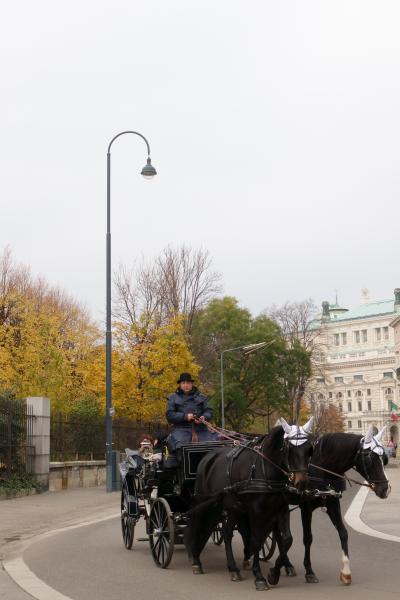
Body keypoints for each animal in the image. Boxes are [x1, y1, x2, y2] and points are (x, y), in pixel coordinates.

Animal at [184, 422, 312, 592]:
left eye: (309, 449)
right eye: (289, 448)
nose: (302, 483)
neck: (266, 470)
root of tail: (207, 457)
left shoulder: (281, 509)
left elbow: (286, 539)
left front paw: (274, 573)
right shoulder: (256, 511)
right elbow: (256, 540)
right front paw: (259, 577)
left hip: (233, 507)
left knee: (226, 533)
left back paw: (233, 568)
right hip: (203, 502)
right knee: (197, 525)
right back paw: (196, 561)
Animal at [268, 426, 390, 584]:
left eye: (384, 459)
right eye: (370, 458)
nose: (385, 489)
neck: (321, 467)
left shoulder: (333, 504)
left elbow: (343, 533)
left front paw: (346, 571)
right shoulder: (306, 509)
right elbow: (308, 538)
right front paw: (309, 571)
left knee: (277, 533)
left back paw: (287, 565)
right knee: (278, 534)